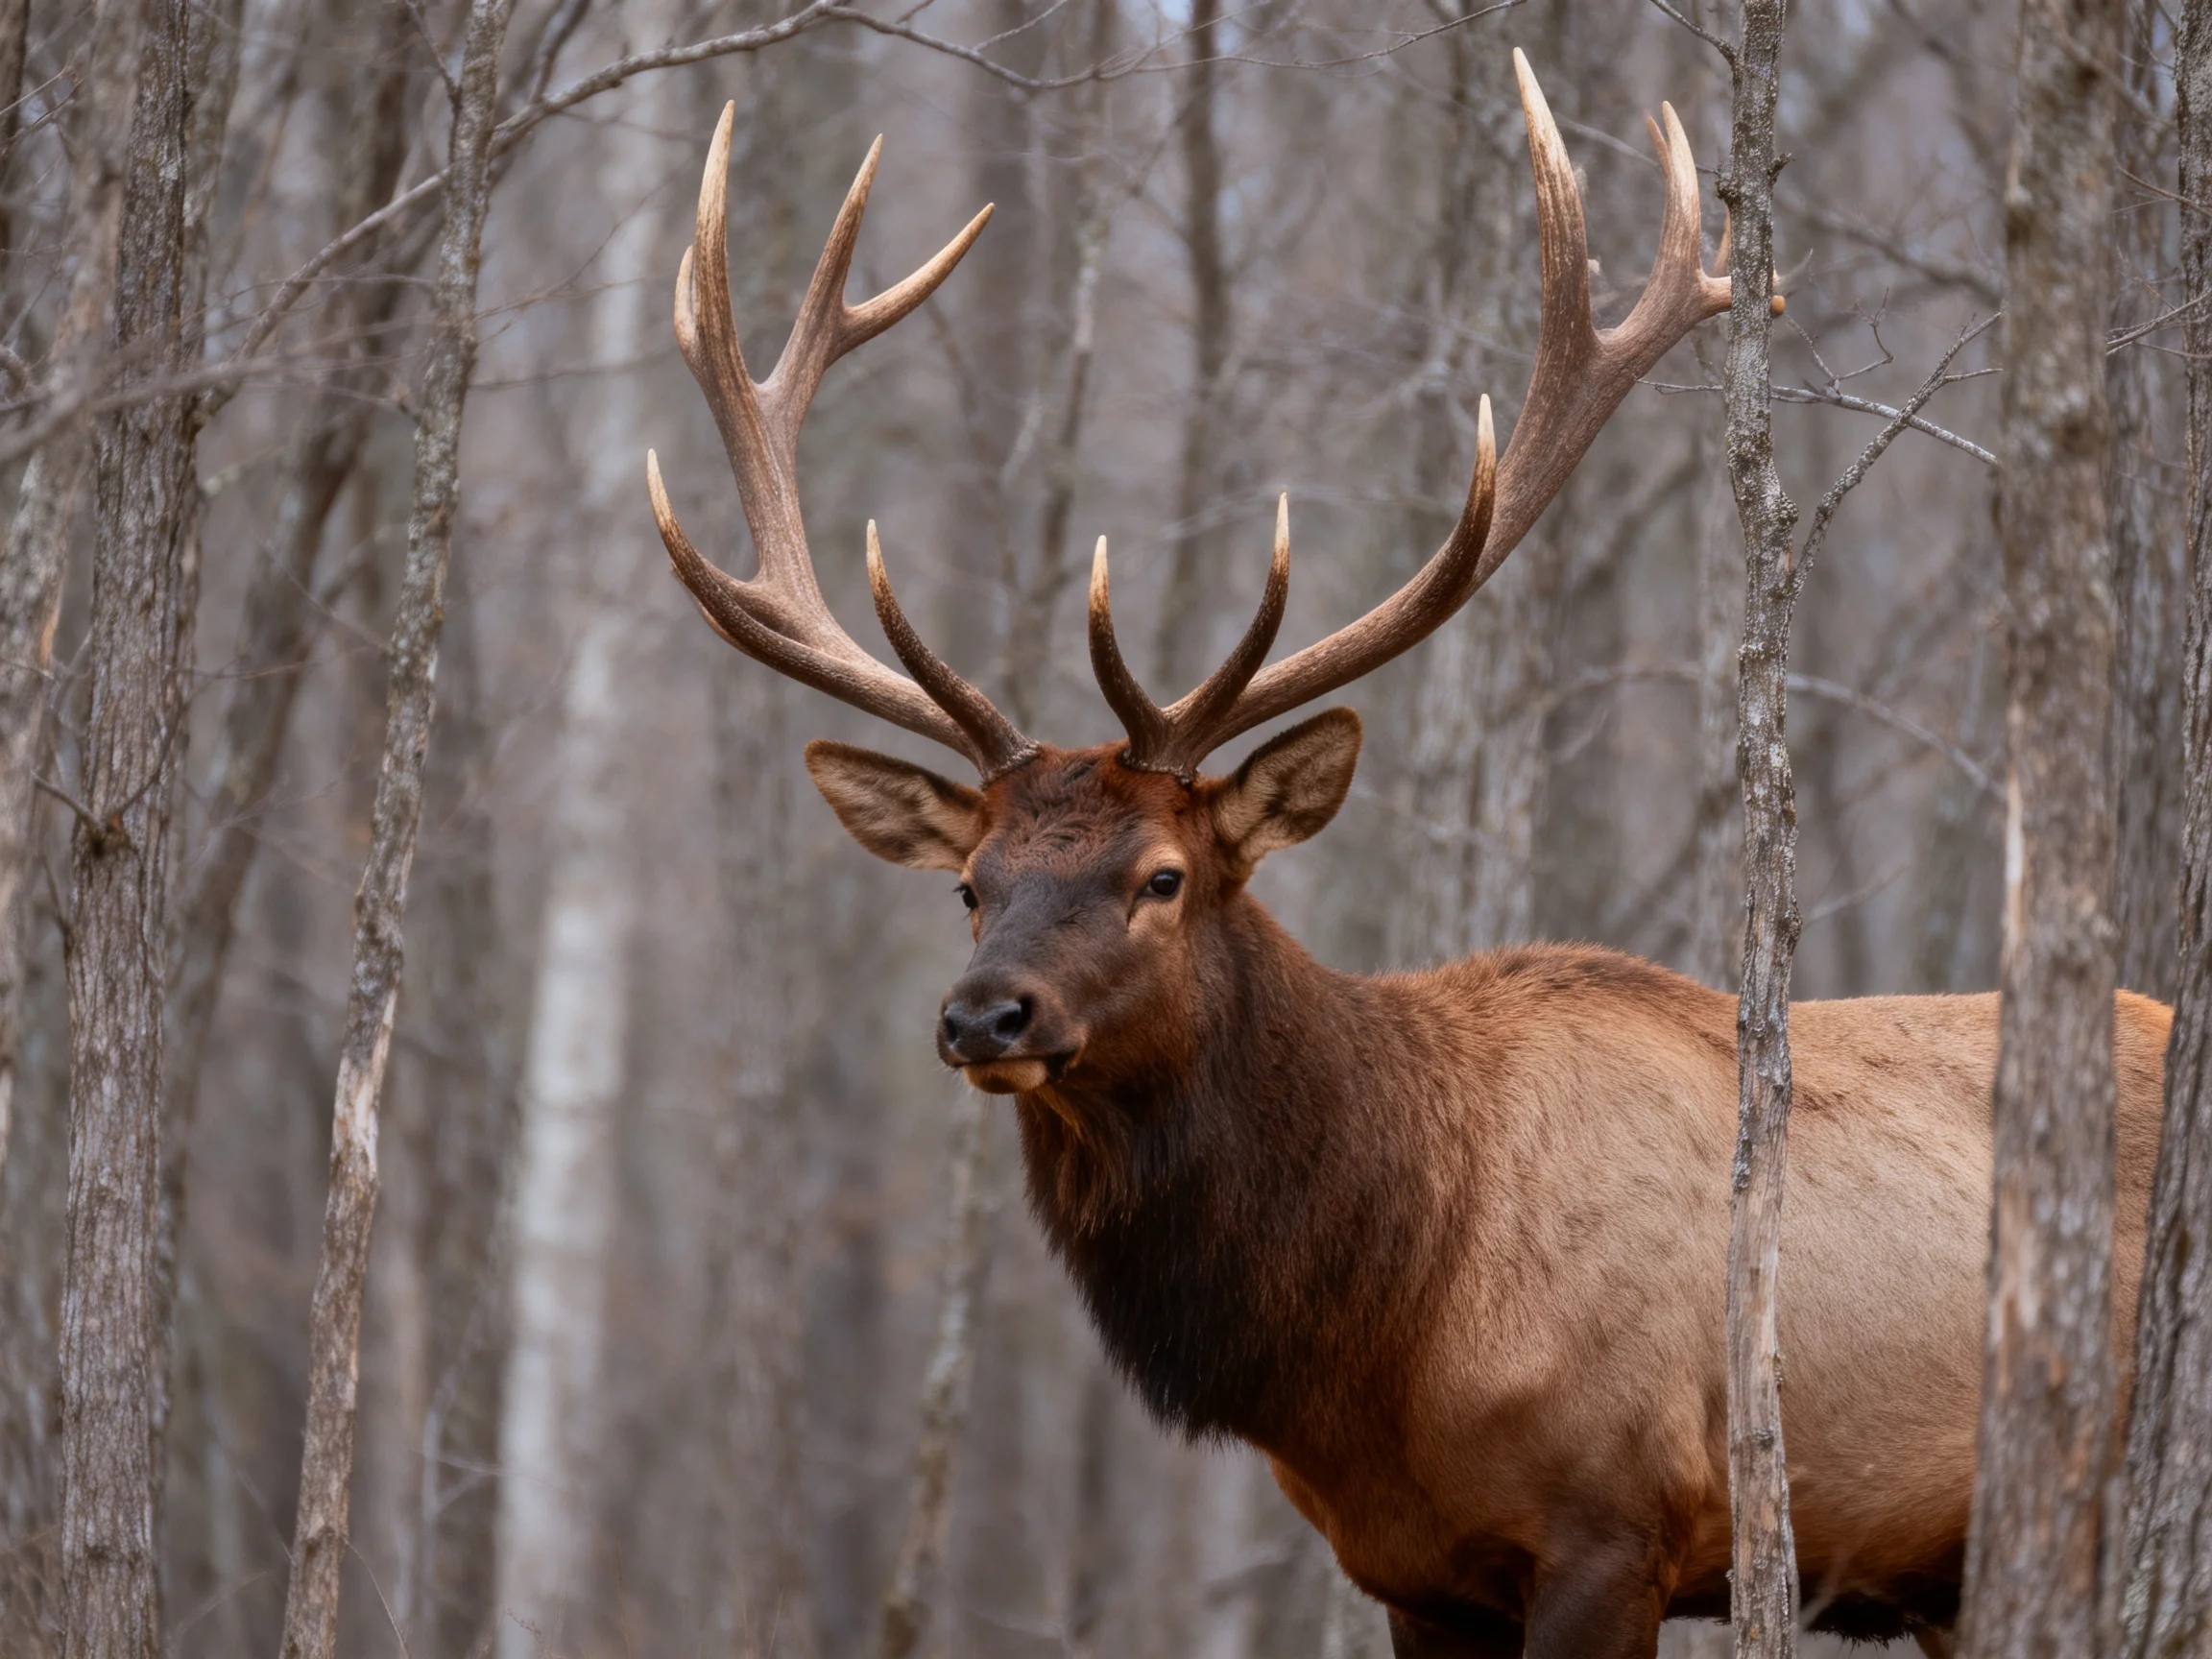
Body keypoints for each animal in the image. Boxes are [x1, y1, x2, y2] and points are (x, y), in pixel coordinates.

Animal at [640, 53, 2168, 1659]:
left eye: (1162, 877)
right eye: (968, 885)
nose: (983, 1015)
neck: (1381, 1327)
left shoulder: (1621, 1521)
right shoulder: (1411, 1572)